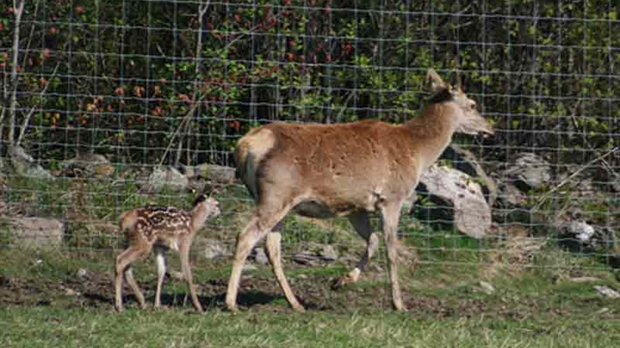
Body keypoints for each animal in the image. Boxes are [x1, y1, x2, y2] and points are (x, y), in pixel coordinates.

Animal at [226, 68, 494, 312]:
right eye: (472, 104)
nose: (490, 128)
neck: (417, 153)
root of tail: (244, 145)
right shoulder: (392, 197)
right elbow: (391, 250)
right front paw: (399, 304)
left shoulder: (356, 206)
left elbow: (373, 241)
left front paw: (340, 281)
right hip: (275, 194)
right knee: (245, 236)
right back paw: (231, 303)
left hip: (281, 201)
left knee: (272, 247)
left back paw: (295, 303)